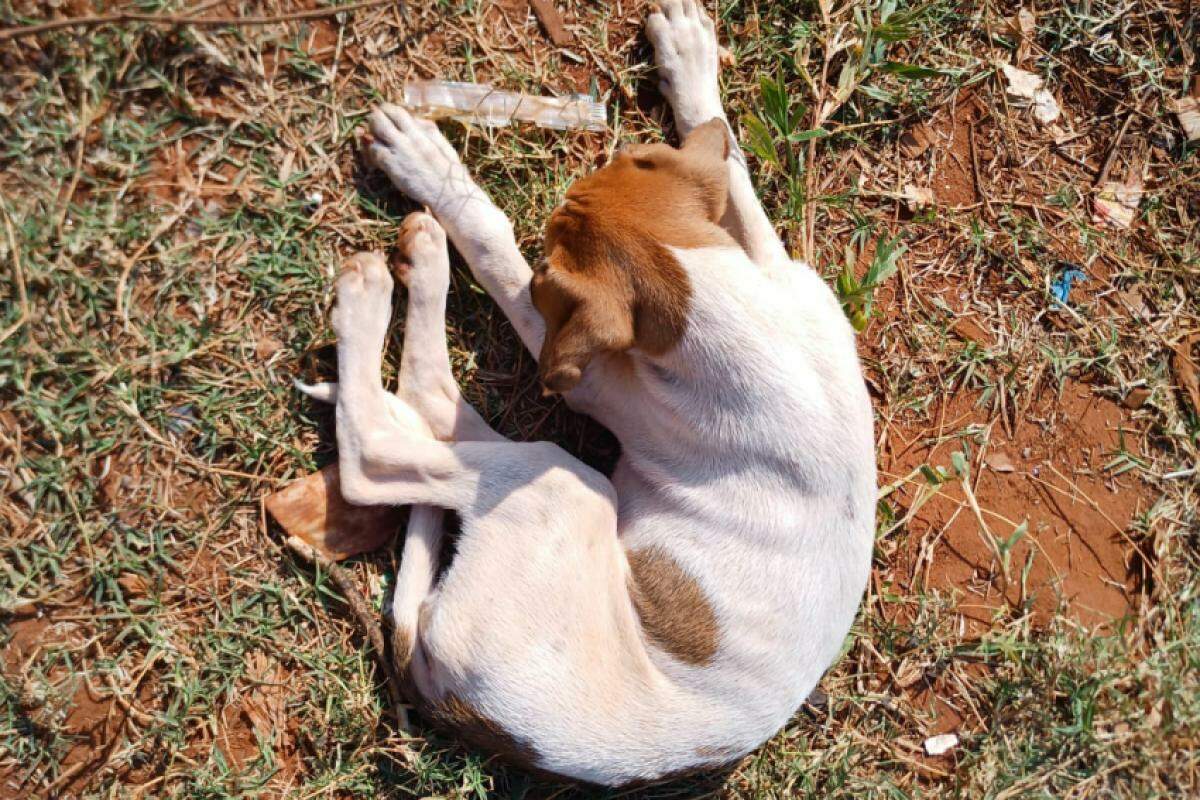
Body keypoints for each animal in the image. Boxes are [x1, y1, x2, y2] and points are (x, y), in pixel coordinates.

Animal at [300, 0, 873, 786]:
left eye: (551, 251)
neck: (735, 314)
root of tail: (471, 709)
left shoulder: (592, 377)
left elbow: (498, 251)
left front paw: (439, 178)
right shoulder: (775, 266)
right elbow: (731, 166)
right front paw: (689, 58)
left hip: (560, 483)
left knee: (384, 446)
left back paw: (380, 283)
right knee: (435, 411)